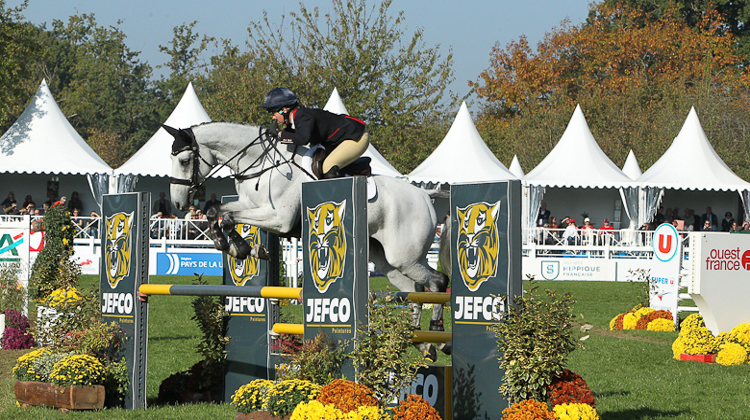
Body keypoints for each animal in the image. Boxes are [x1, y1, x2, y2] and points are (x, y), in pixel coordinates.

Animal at [167, 122, 450, 354]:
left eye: (184, 160)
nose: (178, 203)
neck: (261, 164)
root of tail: (424, 195)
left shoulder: (277, 218)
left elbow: (227, 217)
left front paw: (242, 248)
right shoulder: (248, 205)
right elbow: (216, 211)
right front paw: (233, 246)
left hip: (404, 257)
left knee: (437, 282)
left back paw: (437, 333)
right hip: (387, 262)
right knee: (414, 290)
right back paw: (420, 342)